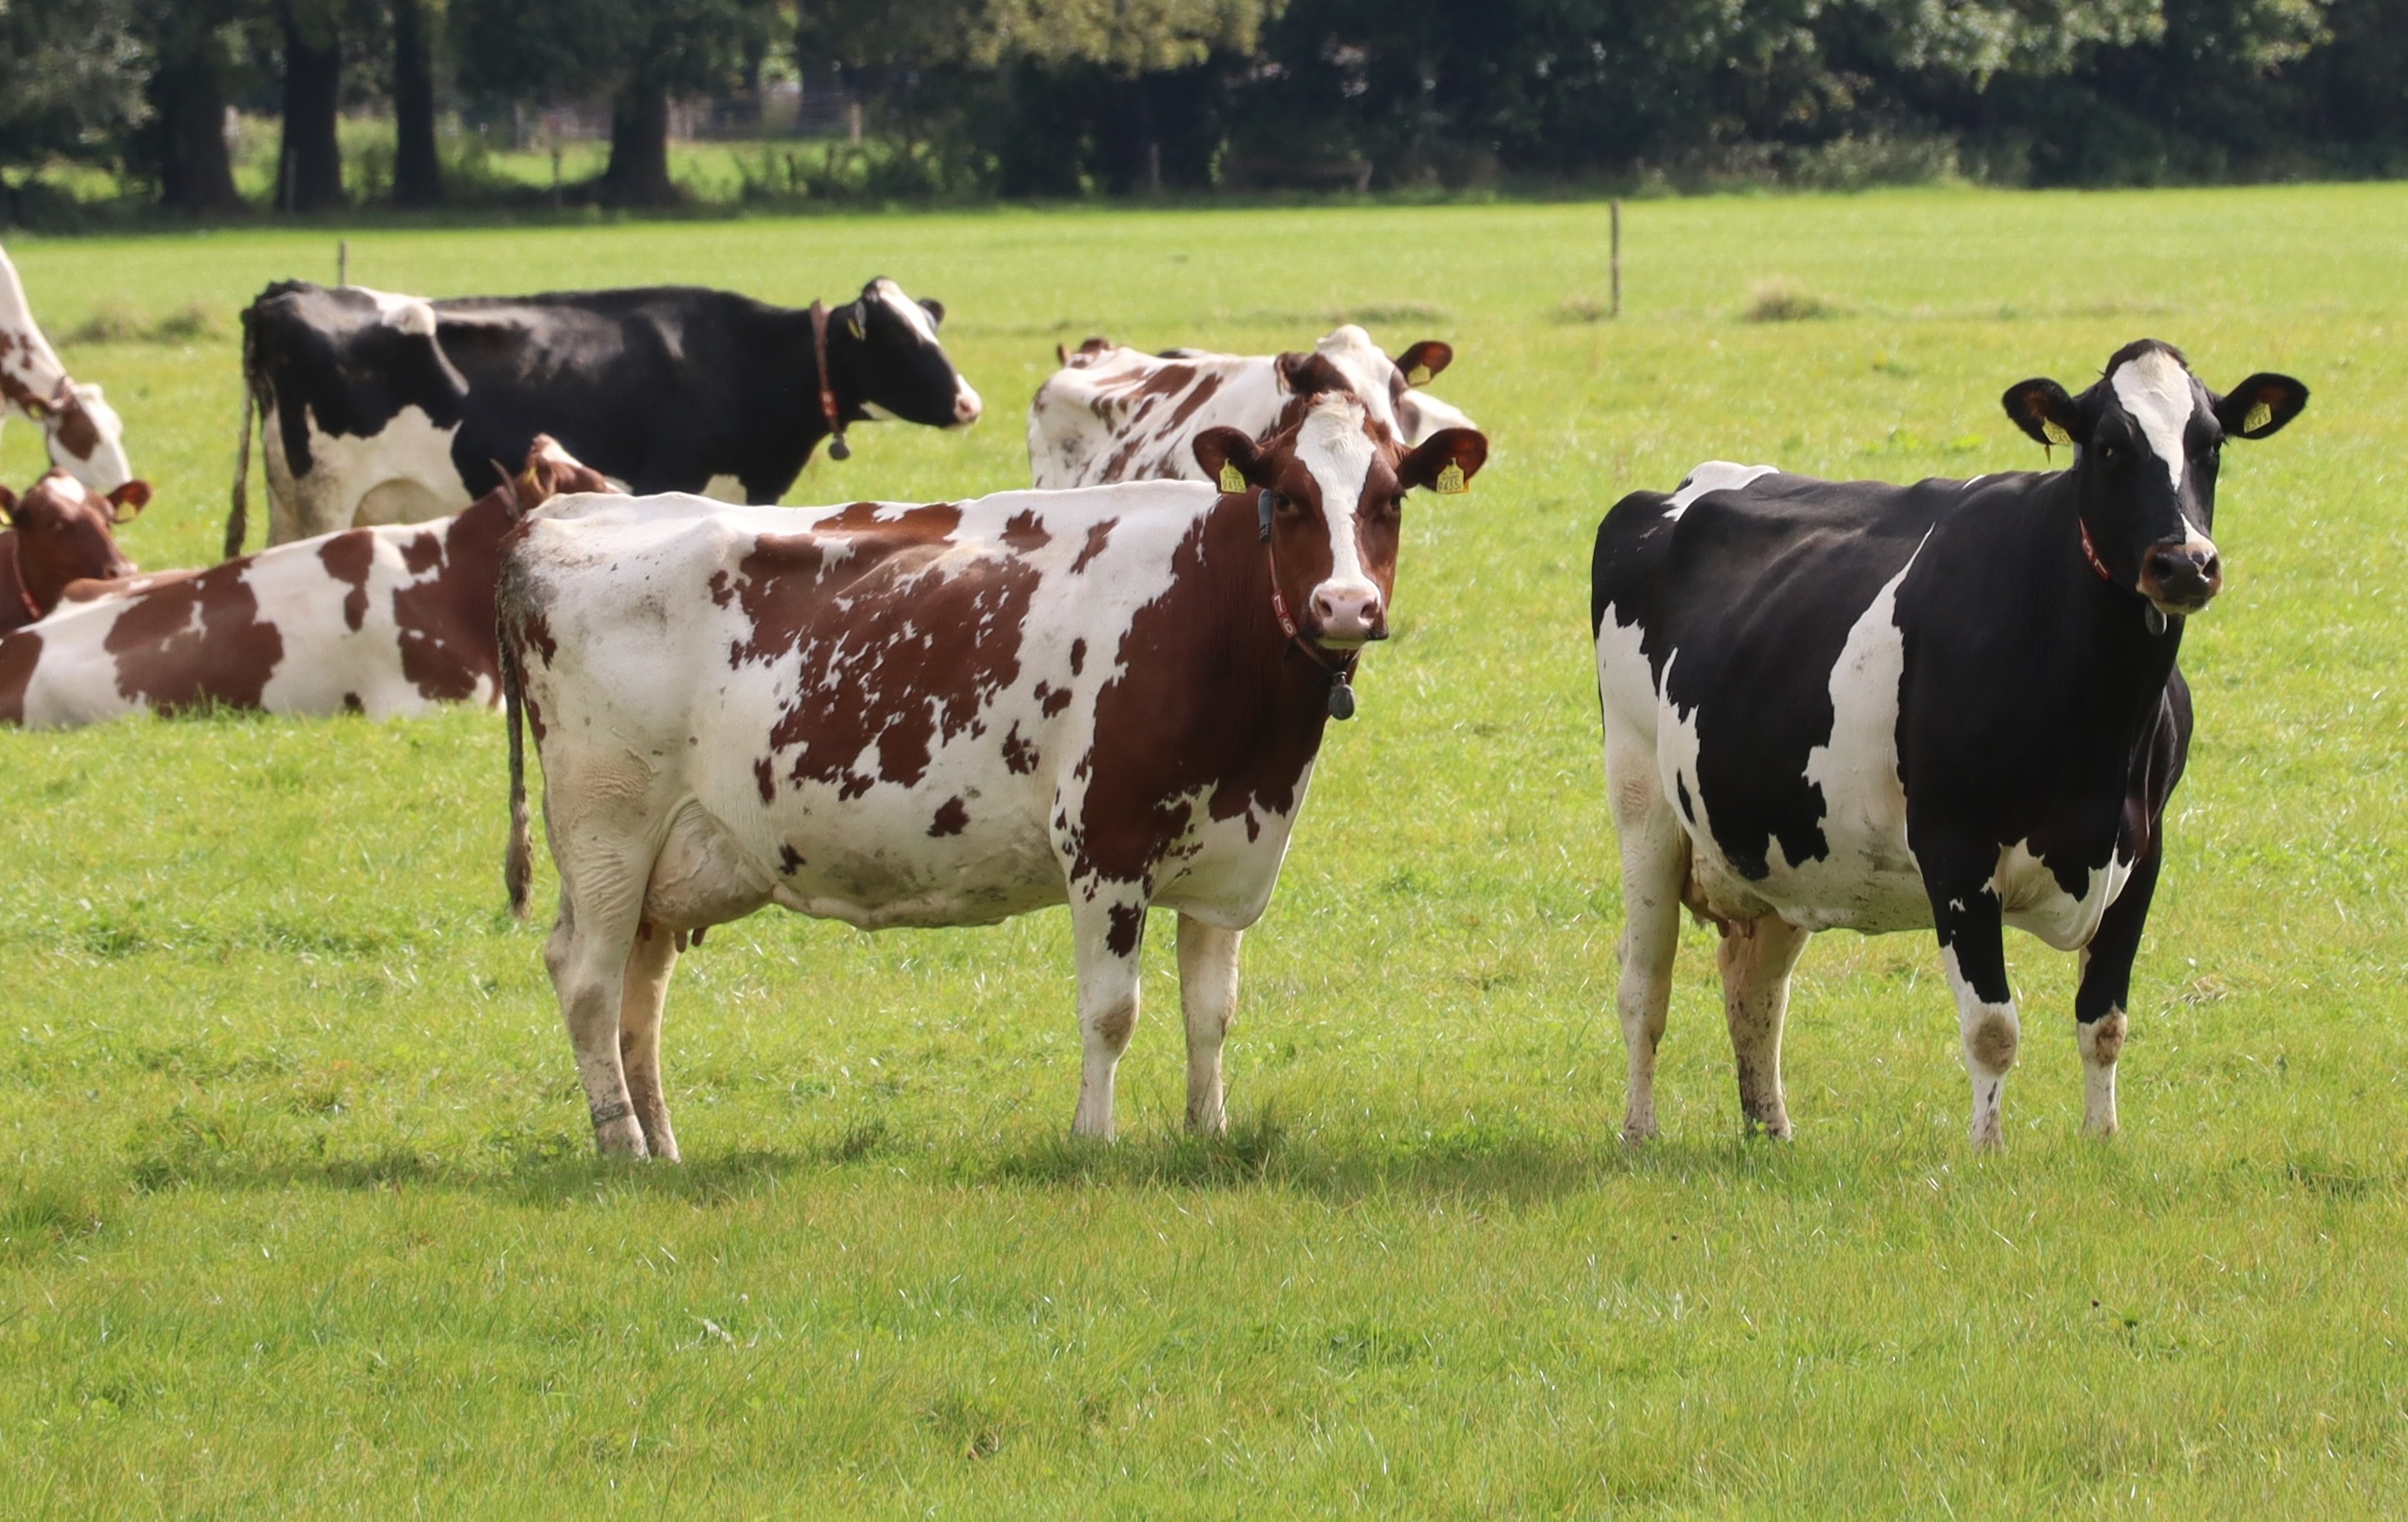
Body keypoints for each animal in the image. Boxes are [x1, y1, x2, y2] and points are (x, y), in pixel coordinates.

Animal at [231, 275, 982, 553]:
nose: (969, 402)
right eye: (898, 341)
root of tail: (288, 293)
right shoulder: (668, 479)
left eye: (931, 327)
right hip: (325, 495)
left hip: (294, 499)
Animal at [499, 390, 1489, 1159]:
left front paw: (1207, 1132)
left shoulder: (1229, 857)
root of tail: (560, 518)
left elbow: (1211, 1010)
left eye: (1390, 499)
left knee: (639, 994)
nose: (1346, 605)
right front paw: (1094, 1141)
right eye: (1286, 499)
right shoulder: (1105, 844)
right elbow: (1112, 1011)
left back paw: (661, 1143)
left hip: (668, 858)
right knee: (586, 979)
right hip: (606, 829)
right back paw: (622, 1145)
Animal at [1592, 340, 2307, 1151]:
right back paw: (1639, 1131)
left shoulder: (2143, 848)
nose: (2184, 563)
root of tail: (1680, 488)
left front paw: (2101, 1143)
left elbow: (2104, 1020)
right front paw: (1987, 1154)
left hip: (1776, 842)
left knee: (1755, 985)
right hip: (1641, 802)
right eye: (2107, 447)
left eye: (2210, 445)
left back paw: (1770, 1129)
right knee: (1643, 985)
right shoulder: (1953, 849)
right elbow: (1992, 1028)